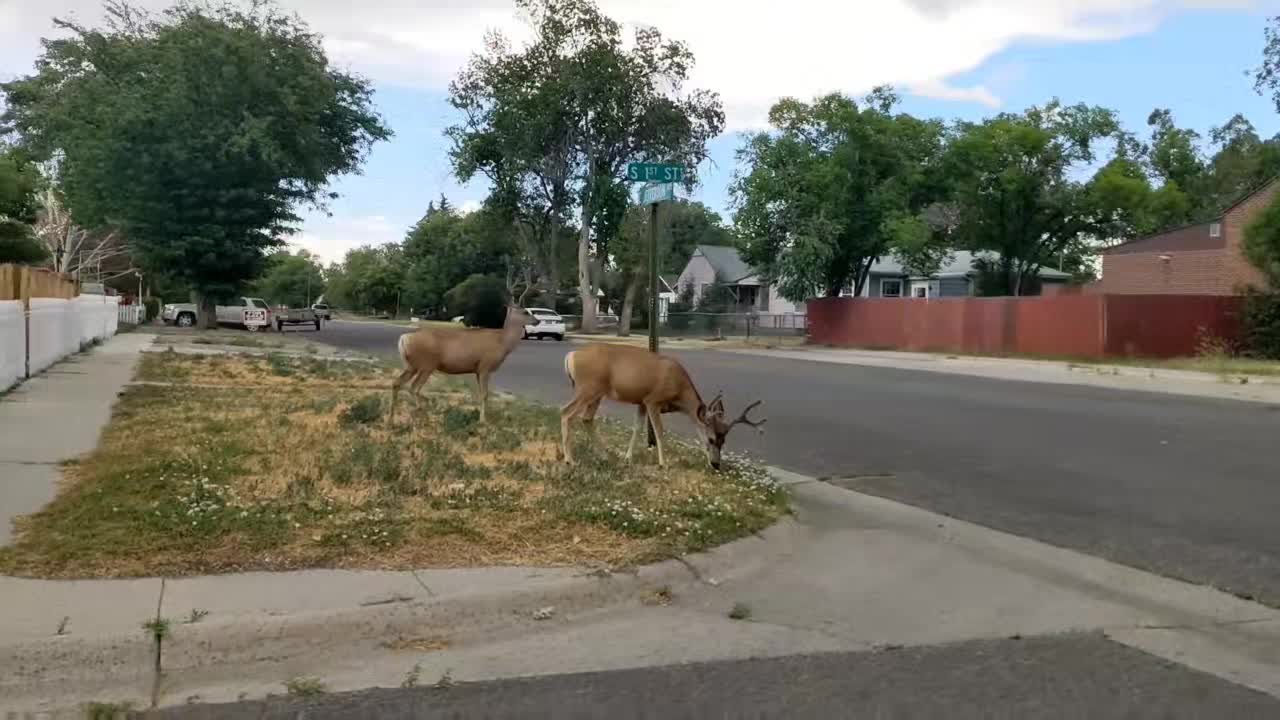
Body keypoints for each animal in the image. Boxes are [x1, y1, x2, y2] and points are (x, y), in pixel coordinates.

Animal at [390, 304, 532, 423]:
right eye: (525, 311)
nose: (536, 320)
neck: (502, 343)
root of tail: (404, 338)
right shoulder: (485, 366)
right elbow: (485, 394)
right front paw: (483, 421)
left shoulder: (478, 370)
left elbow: (480, 394)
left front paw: (480, 417)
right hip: (426, 365)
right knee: (414, 387)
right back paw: (422, 411)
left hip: (411, 365)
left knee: (397, 382)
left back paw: (392, 417)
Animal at [559, 343, 765, 469]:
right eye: (711, 439)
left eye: (724, 441)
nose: (715, 464)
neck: (679, 390)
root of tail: (571, 356)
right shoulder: (653, 400)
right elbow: (659, 431)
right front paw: (663, 463)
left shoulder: (641, 402)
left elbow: (637, 429)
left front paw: (627, 458)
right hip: (588, 388)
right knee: (566, 412)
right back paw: (570, 460)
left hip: (596, 393)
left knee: (587, 419)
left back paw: (603, 455)